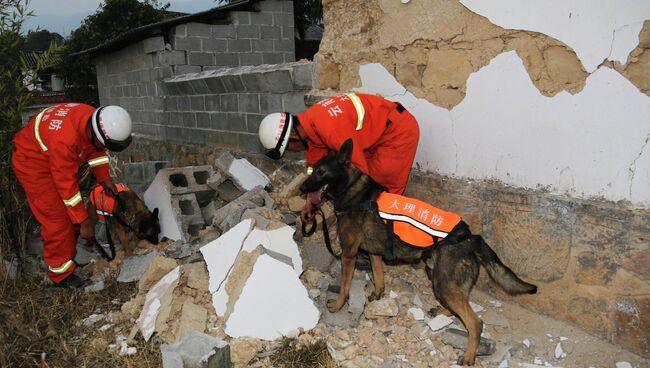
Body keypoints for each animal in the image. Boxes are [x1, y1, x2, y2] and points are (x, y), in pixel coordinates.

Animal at [298, 139, 536, 366]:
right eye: (313, 169)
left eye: (321, 172)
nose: (301, 188)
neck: (351, 189)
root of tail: (471, 237)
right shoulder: (374, 253)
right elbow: (379, 277)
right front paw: (377, 295)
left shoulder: (348, 254)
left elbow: (345, 287)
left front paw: (338, 304)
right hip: (439, 277)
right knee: (461, 303)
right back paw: (443, 313)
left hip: (444, 283)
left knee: (475, 322)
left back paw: (469, 355)